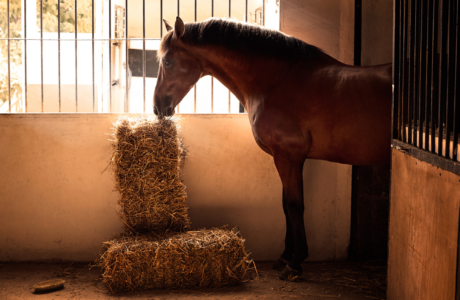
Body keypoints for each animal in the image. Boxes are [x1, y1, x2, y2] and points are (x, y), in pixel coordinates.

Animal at [154, 15, 392, 278]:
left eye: (168, 60)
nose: (157, 107)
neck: (277, 82)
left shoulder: (288, 156)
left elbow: (295, 206)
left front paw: (295, 262)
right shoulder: (285, 158)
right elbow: (285, 206)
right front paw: (285, 256)